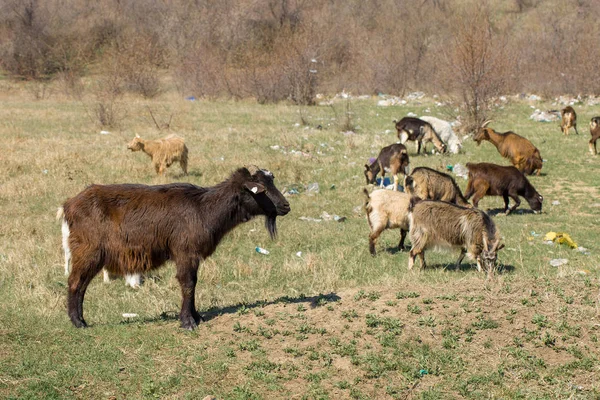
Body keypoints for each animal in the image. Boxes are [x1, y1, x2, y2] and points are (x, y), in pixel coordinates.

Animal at [59, 165, 290, 328]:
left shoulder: (192, 255)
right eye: (261, 190)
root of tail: (68, 206)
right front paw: (188, 322)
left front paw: (197, 317)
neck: (204, 208)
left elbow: (193, 283)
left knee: (82, 284)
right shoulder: (185, 252)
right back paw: (78, 322)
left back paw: (81, 319)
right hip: (88, 251)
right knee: (75, 282)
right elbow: (187, 284)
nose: (286, 206)